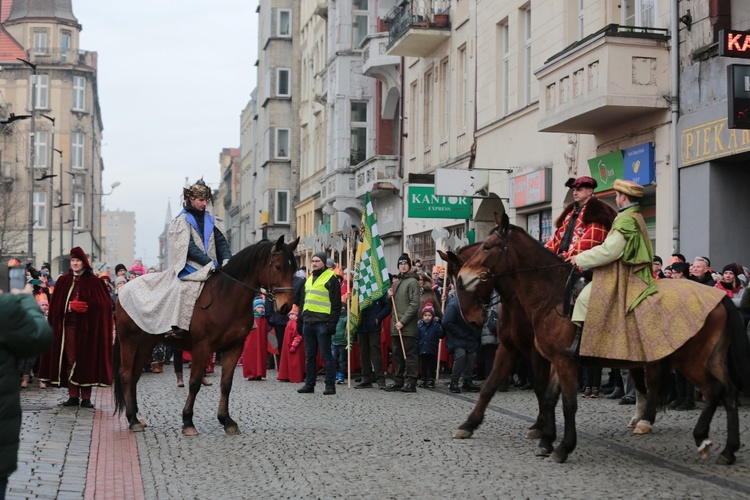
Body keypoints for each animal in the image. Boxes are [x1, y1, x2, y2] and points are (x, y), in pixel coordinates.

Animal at [113, 236, 298, 436]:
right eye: (278, 267)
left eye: (294, 268)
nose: (286, 307)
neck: (226, 297)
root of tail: (122, 291)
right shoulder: (202, 346)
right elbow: (194, 383)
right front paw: (188, 421)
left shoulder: (234, 347)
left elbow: (226, 384)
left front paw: (226, 420)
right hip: (129, 340)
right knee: (126, 375)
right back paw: (132, 420)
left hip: (146, 344)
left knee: (134, 375)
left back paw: (137, 416)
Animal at [438, 244, 556, 448]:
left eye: (461, 283)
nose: (471, 320)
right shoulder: (509, 348)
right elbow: (489, 385)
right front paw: (469, 424)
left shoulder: (538, 352)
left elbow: (541, 388)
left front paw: (540, 426)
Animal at [458, 211, 750, 464]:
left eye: (488, 247)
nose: (462, 278)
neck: (551, 295)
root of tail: (720, 298)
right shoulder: (549, 357)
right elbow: (544, 396)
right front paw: (544, 439)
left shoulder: (560, 361)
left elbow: (567, 403)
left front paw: (562, 446)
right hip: (708, 358)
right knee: (728, 392)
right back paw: (728, 450)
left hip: (689, 360)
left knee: (711, 389)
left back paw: (698, 437)